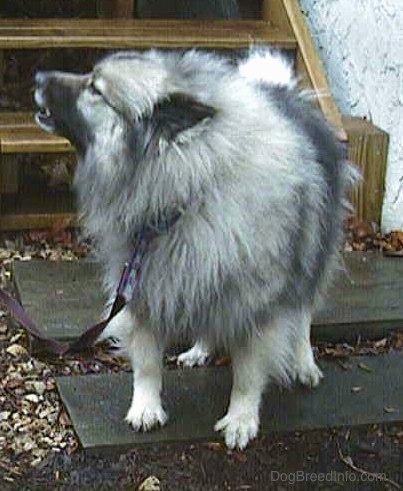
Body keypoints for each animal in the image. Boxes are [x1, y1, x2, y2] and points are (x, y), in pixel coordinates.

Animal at [34, 49, 356, 450]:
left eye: (95, 88)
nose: (37, 77)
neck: (188, 191)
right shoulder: (146, 287)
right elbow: (147, 363)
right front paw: (146, 407)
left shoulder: (255, 303)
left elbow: (248, 373)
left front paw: (241, 419)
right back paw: (200, 349)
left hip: (312, 254)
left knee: (303, 316)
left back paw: (304, 363)